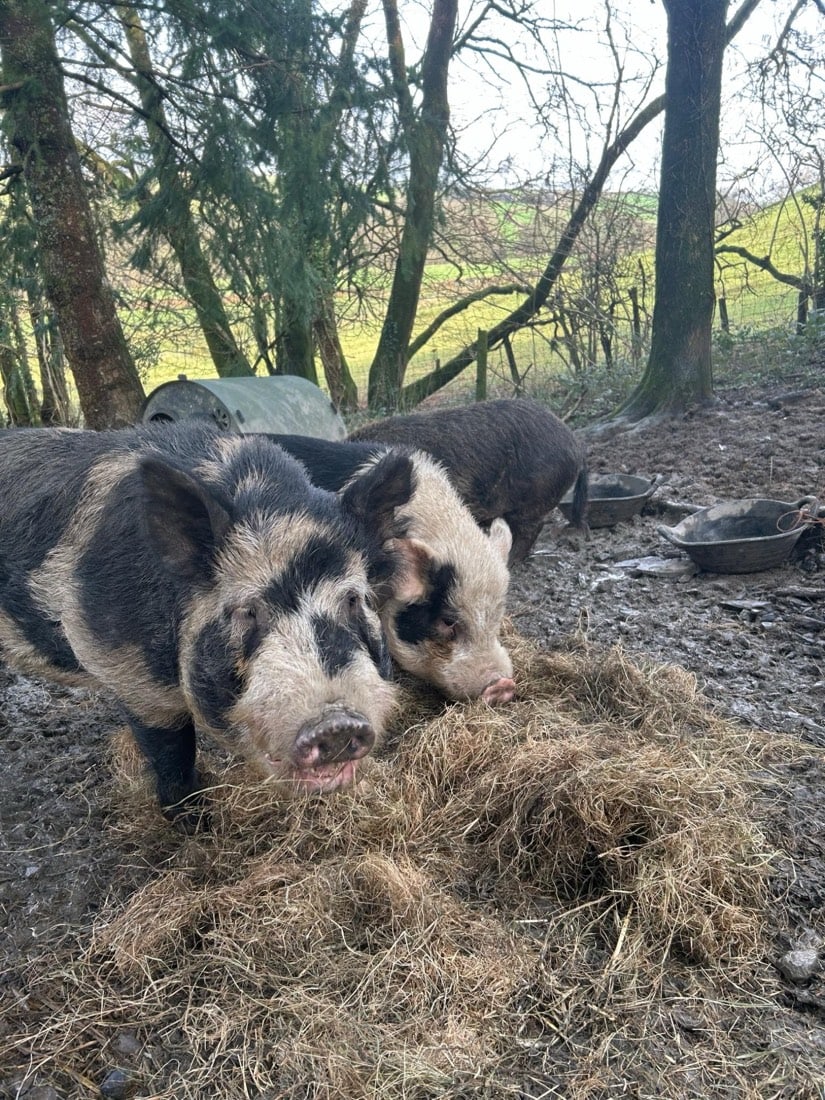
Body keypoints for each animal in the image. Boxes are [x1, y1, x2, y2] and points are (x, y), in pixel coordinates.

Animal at [0, 423, 414, 824]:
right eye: (247, 610)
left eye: (352, 599)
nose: (337, 723)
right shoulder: (130, 677)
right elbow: (172, 755)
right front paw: (194, 823)